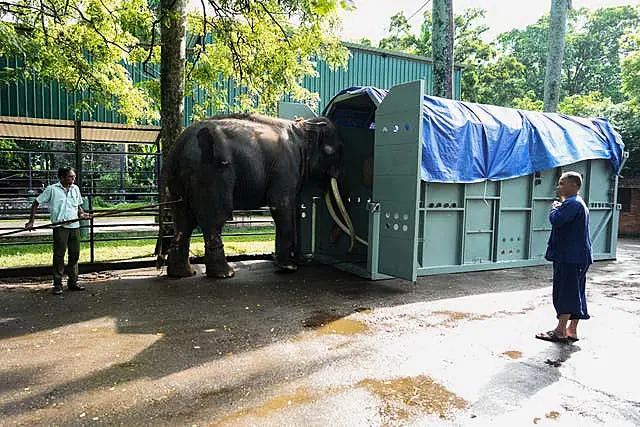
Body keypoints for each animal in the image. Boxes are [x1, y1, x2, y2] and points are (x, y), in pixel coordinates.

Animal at [161, 113, 356, 280]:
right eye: (334, 151)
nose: (347, 251)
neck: (303, 128)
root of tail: (179, 146)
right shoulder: (286, 166)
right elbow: (281, 203)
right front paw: (289, 268)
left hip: (179, 181)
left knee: (183, 219)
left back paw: (183, 273)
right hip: (211, 172)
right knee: (215, 217)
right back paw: (225, 274)